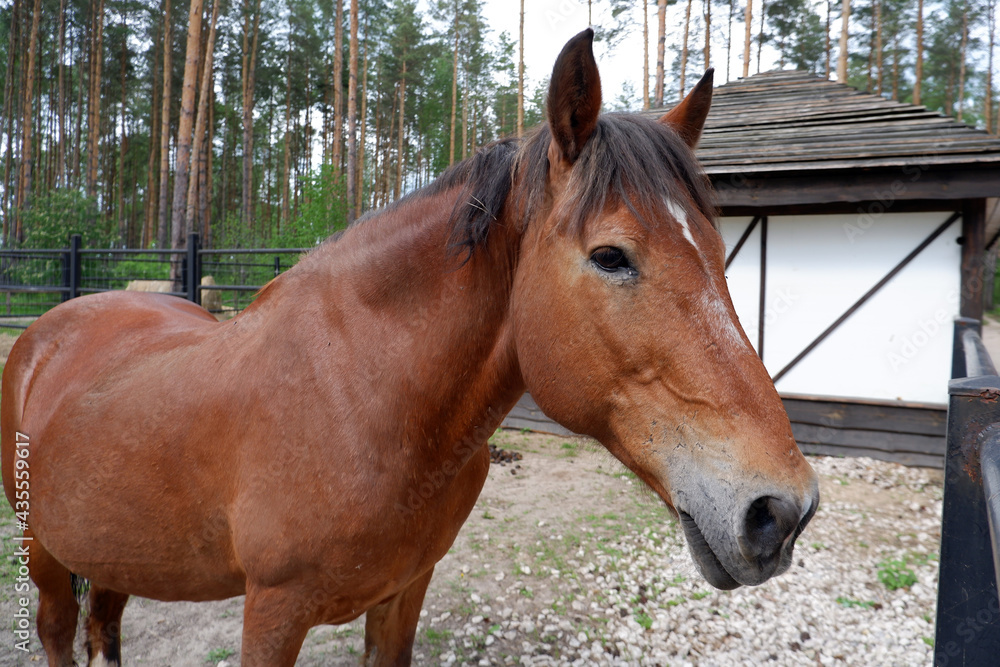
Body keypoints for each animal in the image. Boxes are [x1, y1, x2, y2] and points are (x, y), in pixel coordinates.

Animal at [1, 29, 819, 667]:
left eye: (719, 250)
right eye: (611, 256)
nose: (782, 509)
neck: (364, 397)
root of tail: (46, 330)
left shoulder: (403, 592)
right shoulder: (271, 611)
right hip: (45, 551)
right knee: (58, 630)